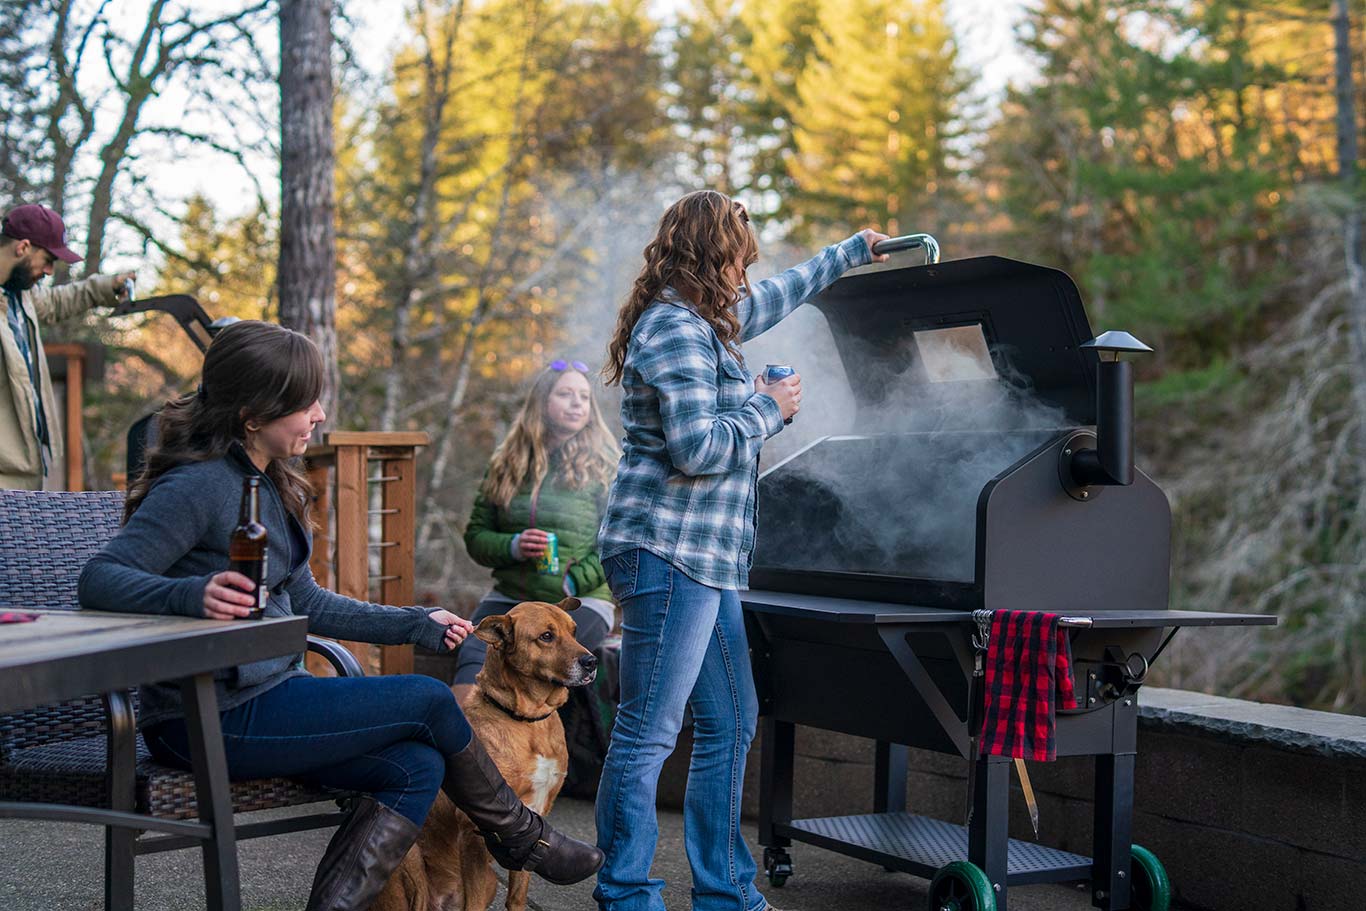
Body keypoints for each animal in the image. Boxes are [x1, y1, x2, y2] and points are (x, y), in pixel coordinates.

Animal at [368, 598, 598, 911]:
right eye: (546, 636)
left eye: (574, 631)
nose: (591, 662)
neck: (528, 721)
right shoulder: (473, 831)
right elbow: (474, 904)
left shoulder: (536, 816)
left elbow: (517, 894)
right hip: (410, 859)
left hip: (489, 880)